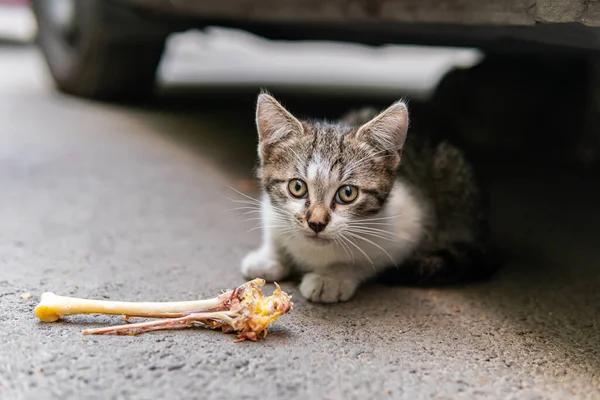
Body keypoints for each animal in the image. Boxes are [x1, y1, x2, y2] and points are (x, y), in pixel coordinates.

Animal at [241, 92, 494, 302]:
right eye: (297, 187)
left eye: (347, 193)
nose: (316, 223)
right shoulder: (271, 212)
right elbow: (275, 235)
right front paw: (269, 258)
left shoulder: (407, 227)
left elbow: (368, 261)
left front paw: (331, 277)